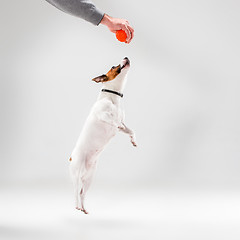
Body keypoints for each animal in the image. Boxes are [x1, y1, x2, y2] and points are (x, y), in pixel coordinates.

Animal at [69, 57, 137, 214]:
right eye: (113, 66)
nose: (126, 57)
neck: (112, 97)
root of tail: (71, 157)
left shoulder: (123, 124)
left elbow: (130, 131)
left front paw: (133, 141)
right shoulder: (103, 115)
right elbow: (112, 120)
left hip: (89, 179)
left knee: (82, 193)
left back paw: (83, 208)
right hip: (77, 174)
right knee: (75, 192)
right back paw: (77, 206)